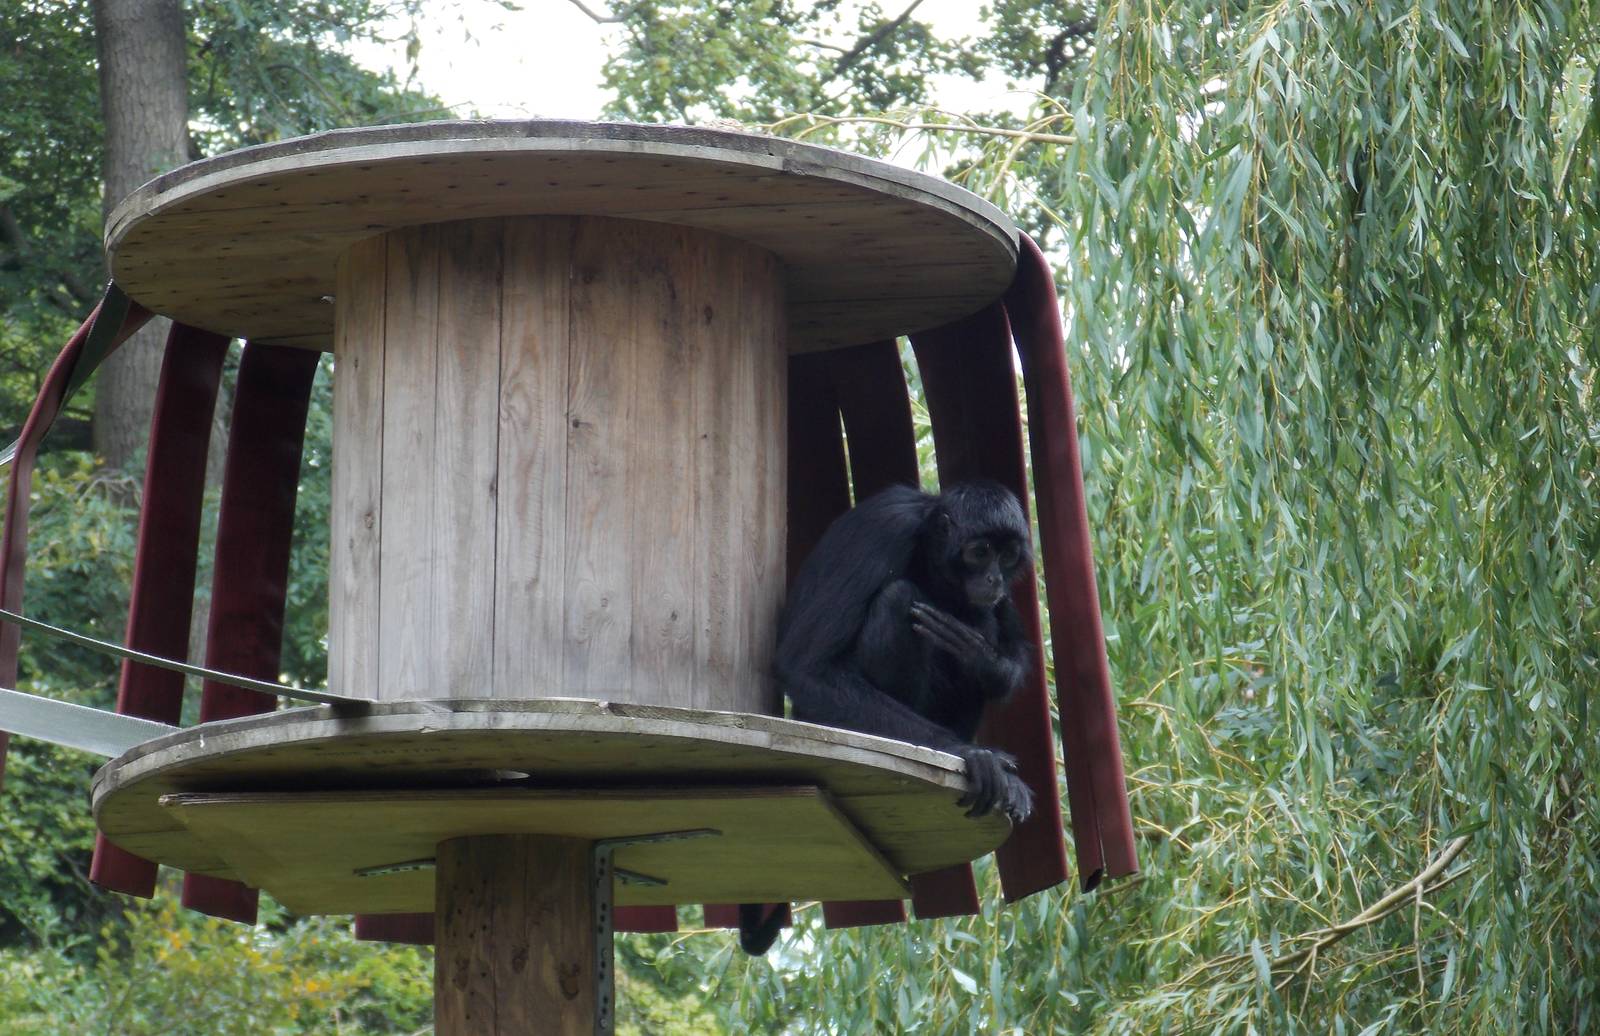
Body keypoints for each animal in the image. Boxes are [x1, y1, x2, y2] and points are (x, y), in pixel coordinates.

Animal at [738, 481, 1036, 955]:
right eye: (979, 552)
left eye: (1006, 557)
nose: (993, 579)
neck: (928, 544)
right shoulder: (886, 529)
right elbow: (806, 667)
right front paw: (972, 755)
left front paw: (986, 661)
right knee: (898, 597)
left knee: (979, 616)